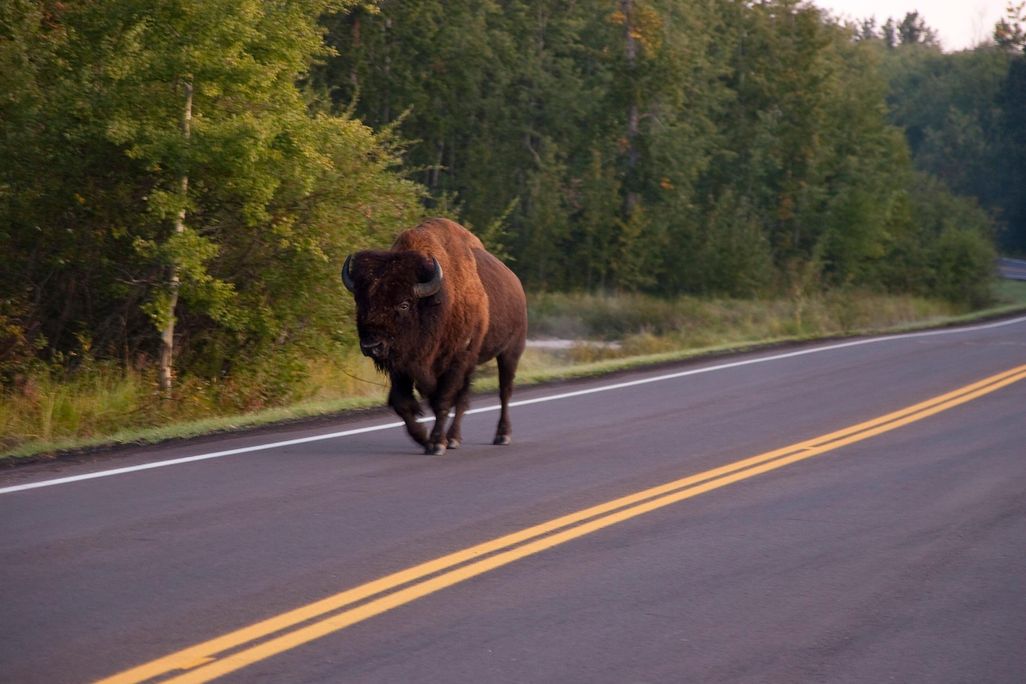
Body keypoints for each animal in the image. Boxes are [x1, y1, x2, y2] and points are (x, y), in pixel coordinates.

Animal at [342, 218, 527, 455]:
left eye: (404, 303)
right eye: (361, 302)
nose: (372, 345)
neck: (435, 303)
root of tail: (517, 284)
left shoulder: (455, 362)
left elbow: (442, 401)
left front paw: (436, 444)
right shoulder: (402, 366)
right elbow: (402, 402)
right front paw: (423, 438)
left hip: (510, 351)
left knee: (504, 391)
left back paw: (501, 435)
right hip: (473, 363)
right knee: (464, 399)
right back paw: (454, 438)